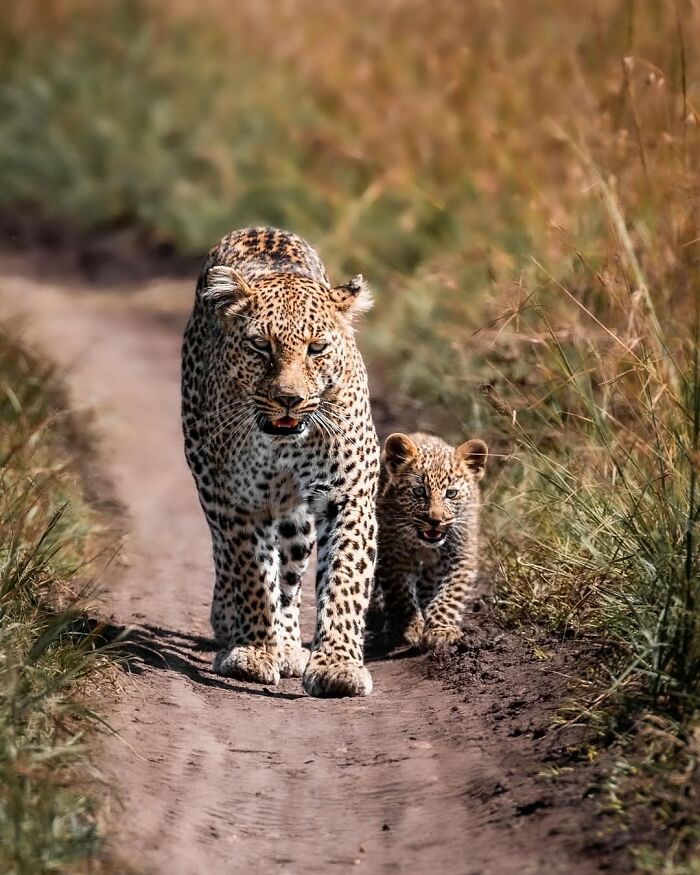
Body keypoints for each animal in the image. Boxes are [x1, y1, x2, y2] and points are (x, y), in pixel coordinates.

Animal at [181, 227, 379, 697]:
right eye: (260, 345)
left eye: (317, 348)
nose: (289, 398)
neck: (282, 445)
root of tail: (260, 228)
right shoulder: (238, 501)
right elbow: (252, 573)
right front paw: (253, 651)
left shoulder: (348, 496)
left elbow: (345, 578)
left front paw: (338, 665)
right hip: (207, 475)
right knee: (231, 557)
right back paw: (237, 624)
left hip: (296, 518)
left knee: (289, 578)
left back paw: (289, 645)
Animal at [373, 431, 488, 650]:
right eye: (419, 491)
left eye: (451, 493)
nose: (435, 520)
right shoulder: (393, 556)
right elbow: (400, 594)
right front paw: (410, 628)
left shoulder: (462, 555)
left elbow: (450, 595)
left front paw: (440, 631)